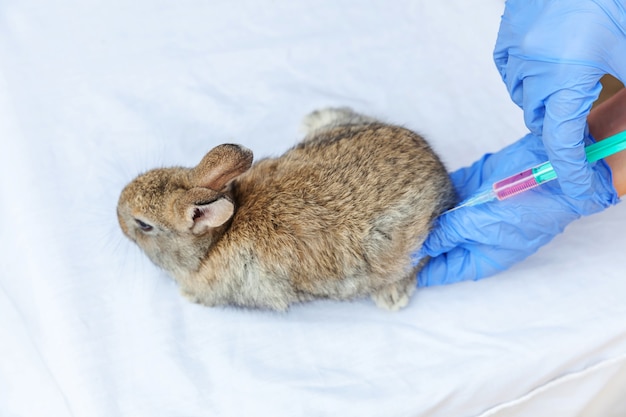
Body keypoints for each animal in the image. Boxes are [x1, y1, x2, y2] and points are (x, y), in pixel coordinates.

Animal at [117, 107, 456, 308]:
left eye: (144, 225)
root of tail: (437, 169)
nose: (118, 213)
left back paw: (391, 297)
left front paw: (187, 296)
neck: (216, 240)